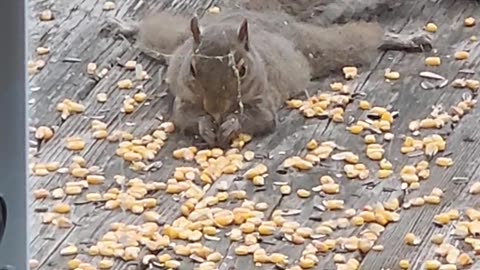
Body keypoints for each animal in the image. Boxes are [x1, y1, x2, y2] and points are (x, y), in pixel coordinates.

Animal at [107, 0, 434, 148]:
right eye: (192, 68)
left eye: (242, 69)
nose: (216, 111)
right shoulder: (184, 97)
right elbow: (183, 117)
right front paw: (204, 124)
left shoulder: (264, 98)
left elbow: (262, 120)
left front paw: (231, 124)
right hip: (171, 42)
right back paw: (127, 26)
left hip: (320, 47)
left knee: (361, 39)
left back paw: (403, 38)